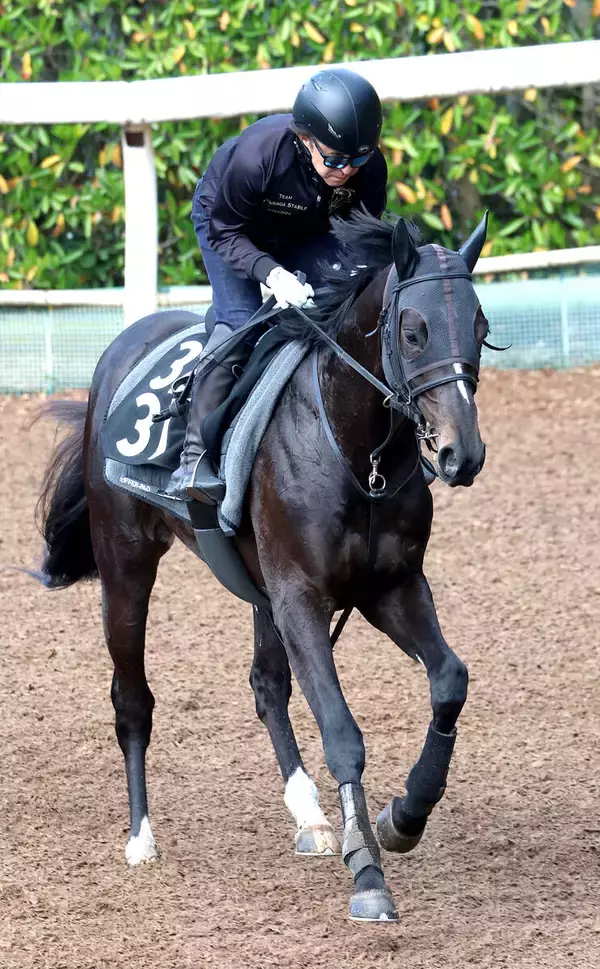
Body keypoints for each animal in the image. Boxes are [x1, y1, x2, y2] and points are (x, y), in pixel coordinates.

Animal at [35, 209, 490, 922]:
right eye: (413, 331)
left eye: (482, 328)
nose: (460, 453)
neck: (356, 450)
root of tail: (122, 348)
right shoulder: (301, 595)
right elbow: (341, 729)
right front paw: (368, 874)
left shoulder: (389, 587)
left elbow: (449, 681)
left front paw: (402, 817)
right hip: (126, 565)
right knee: (132, 700)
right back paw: (141, 838)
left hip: (259, 591)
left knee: (267, 686)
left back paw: (309, 814)